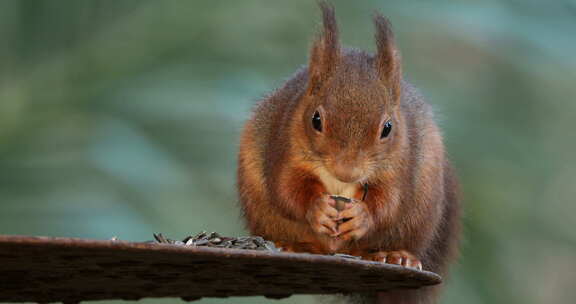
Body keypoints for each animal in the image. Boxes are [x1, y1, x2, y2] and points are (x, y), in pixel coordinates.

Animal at [236, 1, 462, 302]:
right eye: (315, 120)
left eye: (387, 128)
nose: (347, 171)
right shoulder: (283, 146)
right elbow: (286, 188)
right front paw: (318, 209)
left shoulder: (400, 163)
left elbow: (390, 200)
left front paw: (362, 217)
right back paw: (292, 246)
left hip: (421, 211)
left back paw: (395, 255)